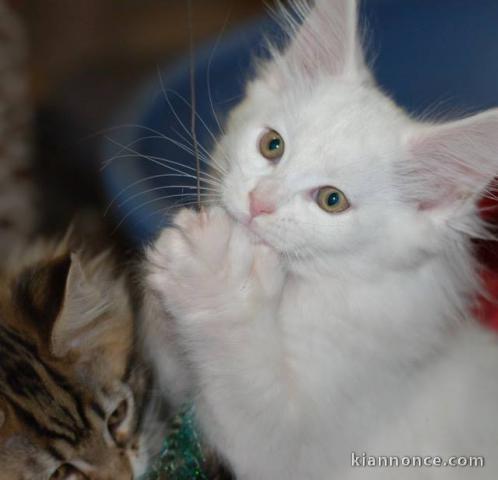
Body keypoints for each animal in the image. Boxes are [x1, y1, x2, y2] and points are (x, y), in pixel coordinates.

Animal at [142, 1, 498, 478]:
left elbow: (243, 383)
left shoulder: (295, 450)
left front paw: (213, 276)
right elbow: (171, 362)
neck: (302, 297)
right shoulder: (180, 394)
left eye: (332, 200)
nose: (258, 203)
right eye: (271, 145)